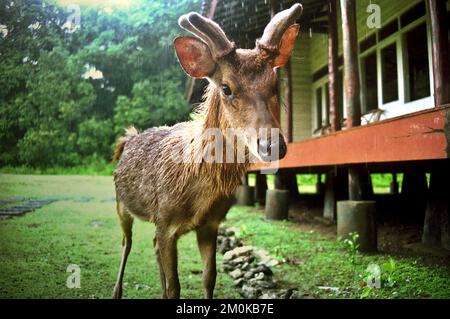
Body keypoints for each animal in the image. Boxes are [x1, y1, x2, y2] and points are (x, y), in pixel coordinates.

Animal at [111, 3, 304, 300]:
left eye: (274, 84)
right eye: (226, 87)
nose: (272, 144)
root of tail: (127, 139)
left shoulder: (211, 223)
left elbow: (208, 277)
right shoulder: (165, 220)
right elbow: (175, 287)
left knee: (151, 245)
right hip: (121, 203)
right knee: (126, 243)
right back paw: (116, 291)